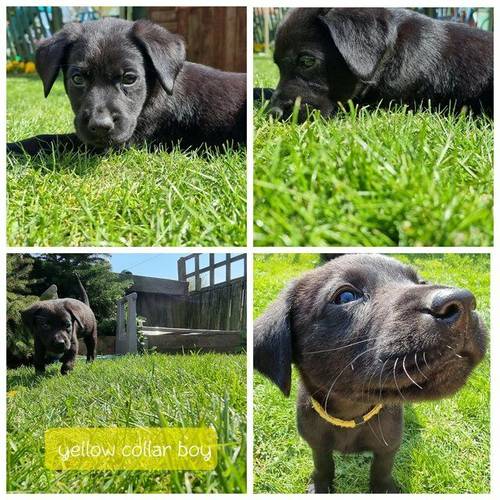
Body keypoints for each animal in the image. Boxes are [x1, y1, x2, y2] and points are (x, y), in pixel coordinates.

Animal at [254, 256, 484, 494]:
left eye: (420, 282)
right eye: (346, 296)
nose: (464, 302)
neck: (351, 415)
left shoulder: (388, 446)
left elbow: (381, 470)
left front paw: (383, 489)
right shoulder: (316, 442)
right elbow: (323, 464)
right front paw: (320, 485)